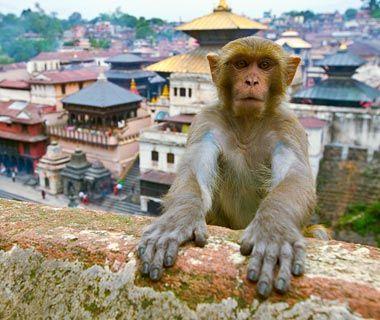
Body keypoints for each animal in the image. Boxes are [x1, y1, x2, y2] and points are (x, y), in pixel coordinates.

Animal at [138, 36, 320, 298]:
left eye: (265, 65)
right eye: (241, 64)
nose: (252, 81)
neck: (247, 122)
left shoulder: (288, 126)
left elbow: (295, 175)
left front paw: (273, 229)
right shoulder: (206, 119)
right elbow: (193, 170)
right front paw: (178, 220)